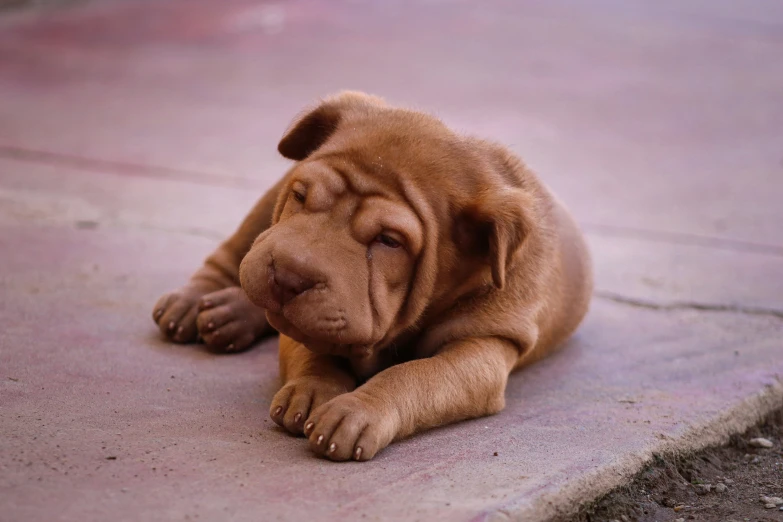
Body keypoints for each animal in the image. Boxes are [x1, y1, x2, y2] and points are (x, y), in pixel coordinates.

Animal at [153, 92, 596, 460]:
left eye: (389, 241)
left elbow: (415, 375)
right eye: (301, 196)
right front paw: (313, 389)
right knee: (232, 254)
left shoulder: (485, 347)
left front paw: (357, 409)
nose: (289, 275)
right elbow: (311, 348)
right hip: (264, 209)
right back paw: (198, 303)